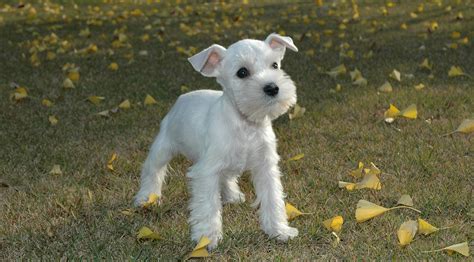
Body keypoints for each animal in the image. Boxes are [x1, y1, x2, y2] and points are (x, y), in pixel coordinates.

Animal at [133, 32, 298, 248]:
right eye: (242, 72)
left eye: (275, 65)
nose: (272, 88)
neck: (245, 124)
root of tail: (183, 97)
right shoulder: (207, 172)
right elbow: (208, 206)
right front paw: (207, 237)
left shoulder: (266, 167)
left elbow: (273, 199)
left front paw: (279, 230)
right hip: (163, 147)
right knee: (152, 170)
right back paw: (146, 197)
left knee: (226, 177)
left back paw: (233, 195)